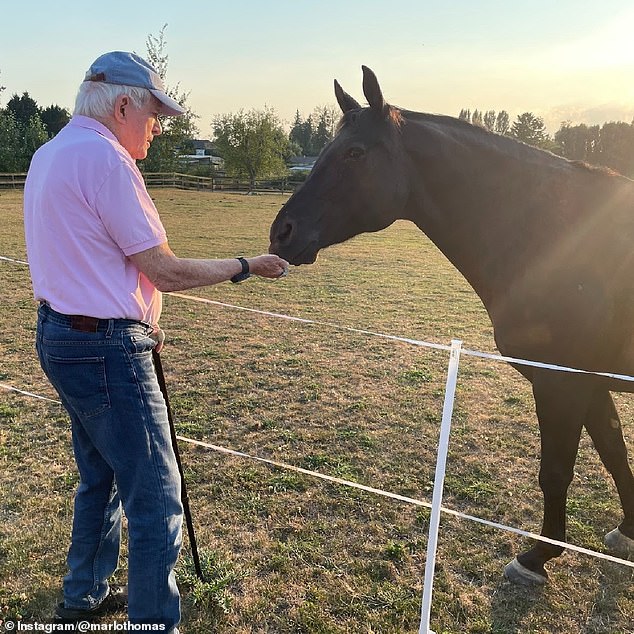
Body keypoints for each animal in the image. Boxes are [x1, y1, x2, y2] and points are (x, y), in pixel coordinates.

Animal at [268, 65, 632, 584]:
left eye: (355, 153)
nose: (282, 233)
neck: (558, 237)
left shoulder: (563, 385)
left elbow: (557, 471)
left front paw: (536, 558)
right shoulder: (591, 383)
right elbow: (614, 451)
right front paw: (628, 530)